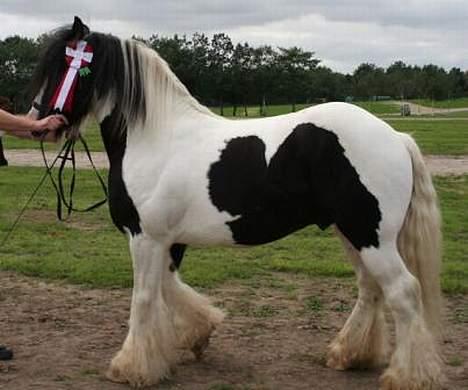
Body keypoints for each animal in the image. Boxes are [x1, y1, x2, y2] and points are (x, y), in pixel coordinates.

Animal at [30, 17, 446, 390]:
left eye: (65, 67)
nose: (39, 122)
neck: (156, 137)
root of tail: (396, 137)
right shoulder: (168, 241)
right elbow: (169, 287)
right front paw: (196, 336)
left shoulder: (145, 238)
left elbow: (145, 298)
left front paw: (132, 368)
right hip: (352, 233)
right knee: (371, 288)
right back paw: (349, 355)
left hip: (370, 236)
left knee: (404, 292)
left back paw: (408, 376)